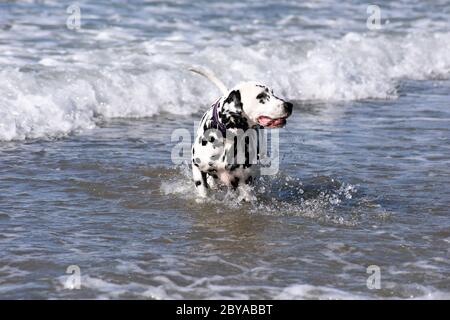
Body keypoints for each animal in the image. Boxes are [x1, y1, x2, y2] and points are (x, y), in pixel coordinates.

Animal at [189, 67, 292, 201]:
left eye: (273, 93)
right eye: (261, 96)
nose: (289, 105)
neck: (230, 136)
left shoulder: (245, 182)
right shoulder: (198, 168)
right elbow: (203, 191)